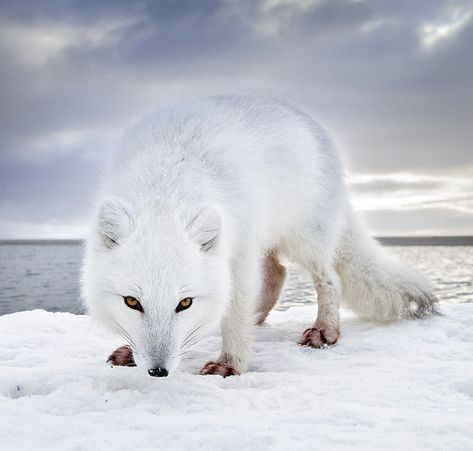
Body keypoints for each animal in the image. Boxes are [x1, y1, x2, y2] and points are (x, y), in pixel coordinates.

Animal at [80, 95, 436, 378]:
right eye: (131, 302)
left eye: (185, 303)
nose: (158, 371)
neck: (166, 188)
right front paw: (130, 352)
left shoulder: (238, 255)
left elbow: (236, 314)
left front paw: (229, 364)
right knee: (277, 273)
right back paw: (260, 318)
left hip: (304, 237)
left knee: (328, 278)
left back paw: (325, 330)